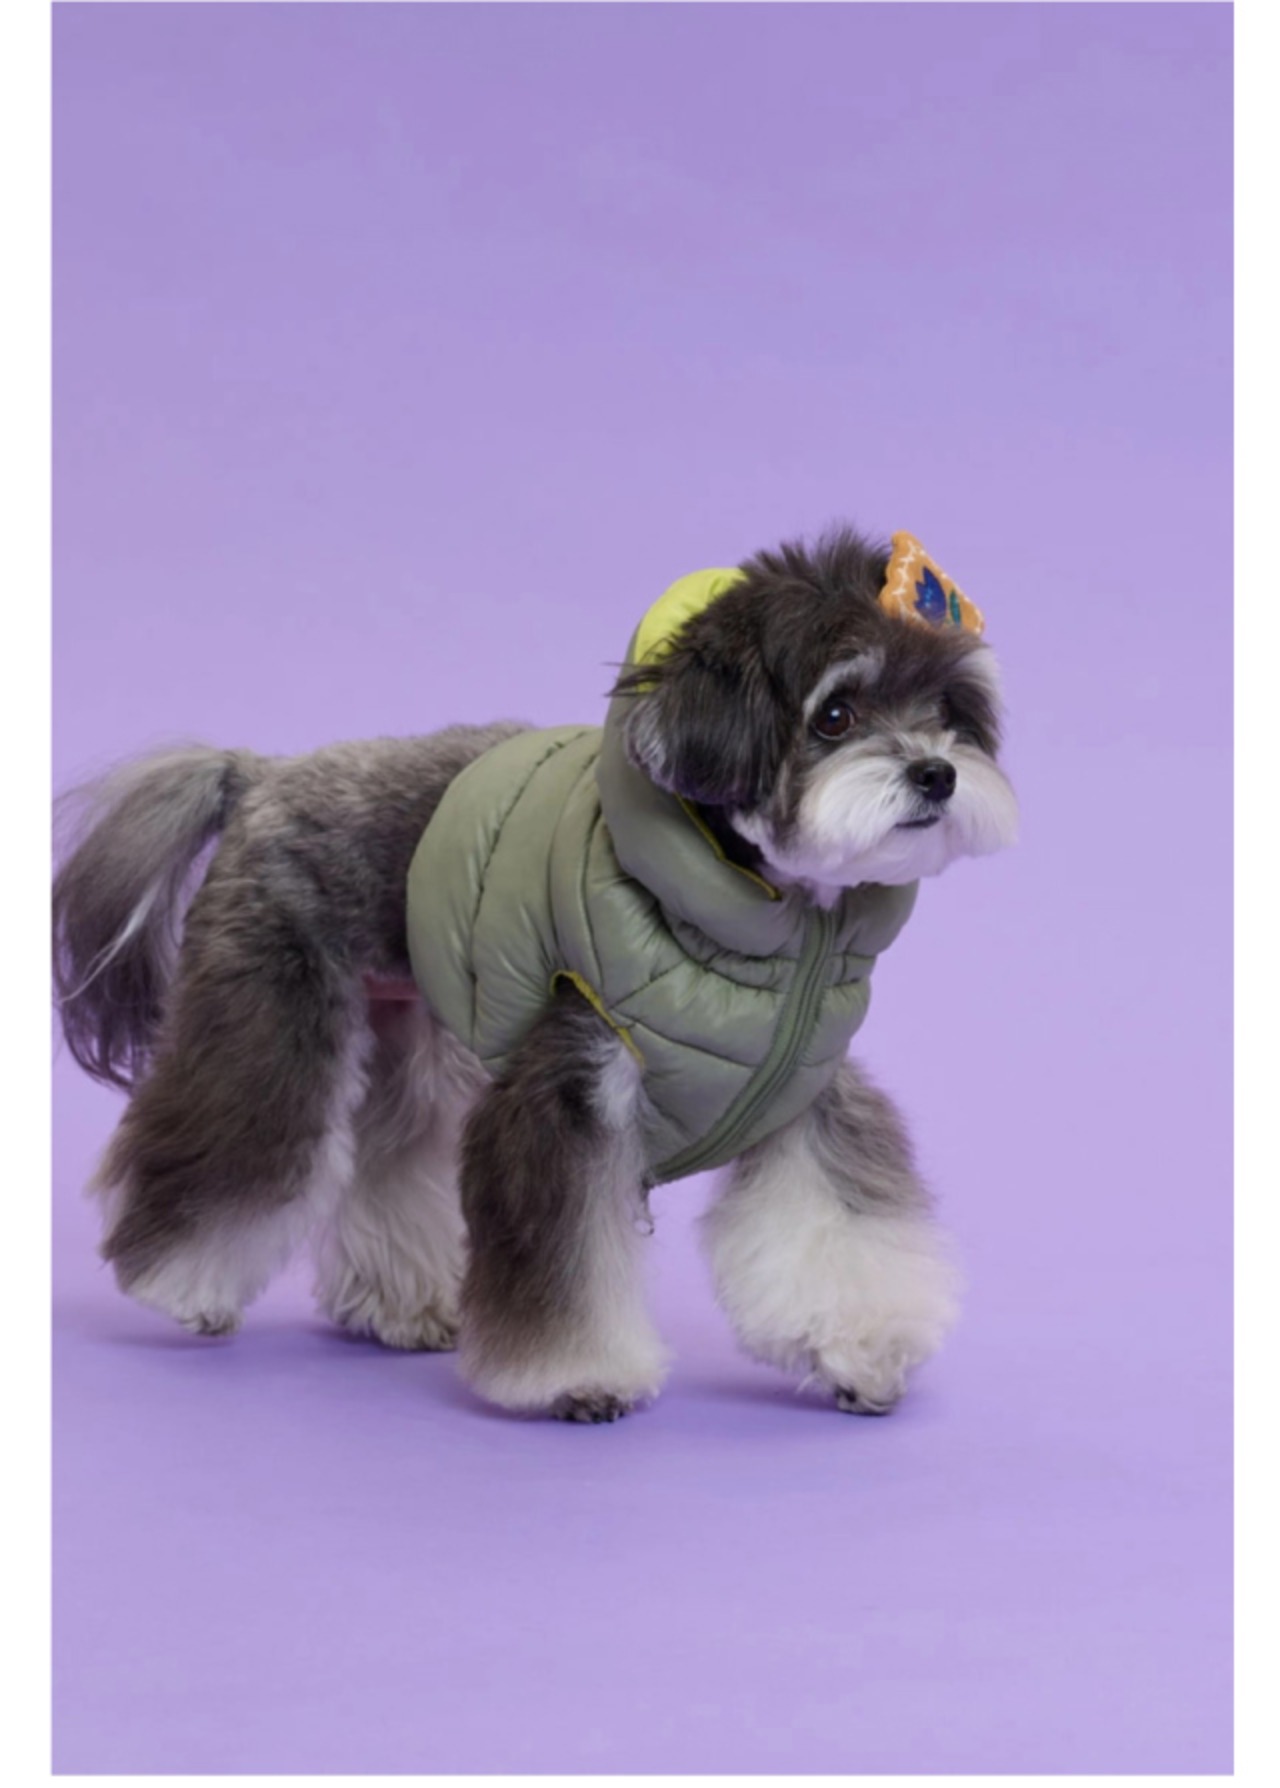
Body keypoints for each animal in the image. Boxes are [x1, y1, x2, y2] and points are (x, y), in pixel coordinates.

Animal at [53, 527, 1017, 1421]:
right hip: (275, 1010)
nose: (936, 772)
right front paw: (577, 1378)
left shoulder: (804, 1093)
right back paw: (181, 1287)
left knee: (390, 1157)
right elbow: (568, 1255)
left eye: (948, 710)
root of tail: (261, 776)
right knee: (240, 1145)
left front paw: (861, 1353)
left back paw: (401, 1305)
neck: (783, 932)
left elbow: (841, 1228)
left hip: (407, 1028)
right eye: (835, 715)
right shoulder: (573, 1087)